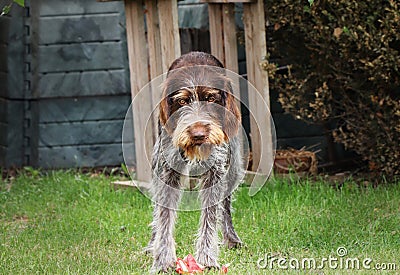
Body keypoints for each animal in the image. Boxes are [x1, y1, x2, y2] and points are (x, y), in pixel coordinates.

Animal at [145, 51, 242, 274]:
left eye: (211, 98)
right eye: (182, 102)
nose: (198, 135)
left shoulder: (216, 172)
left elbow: (210, 218)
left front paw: (206, 258)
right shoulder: (166, 172)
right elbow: (164, 217)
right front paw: (162, 261)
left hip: (233, 166)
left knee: (226, 207)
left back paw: (231, 238)